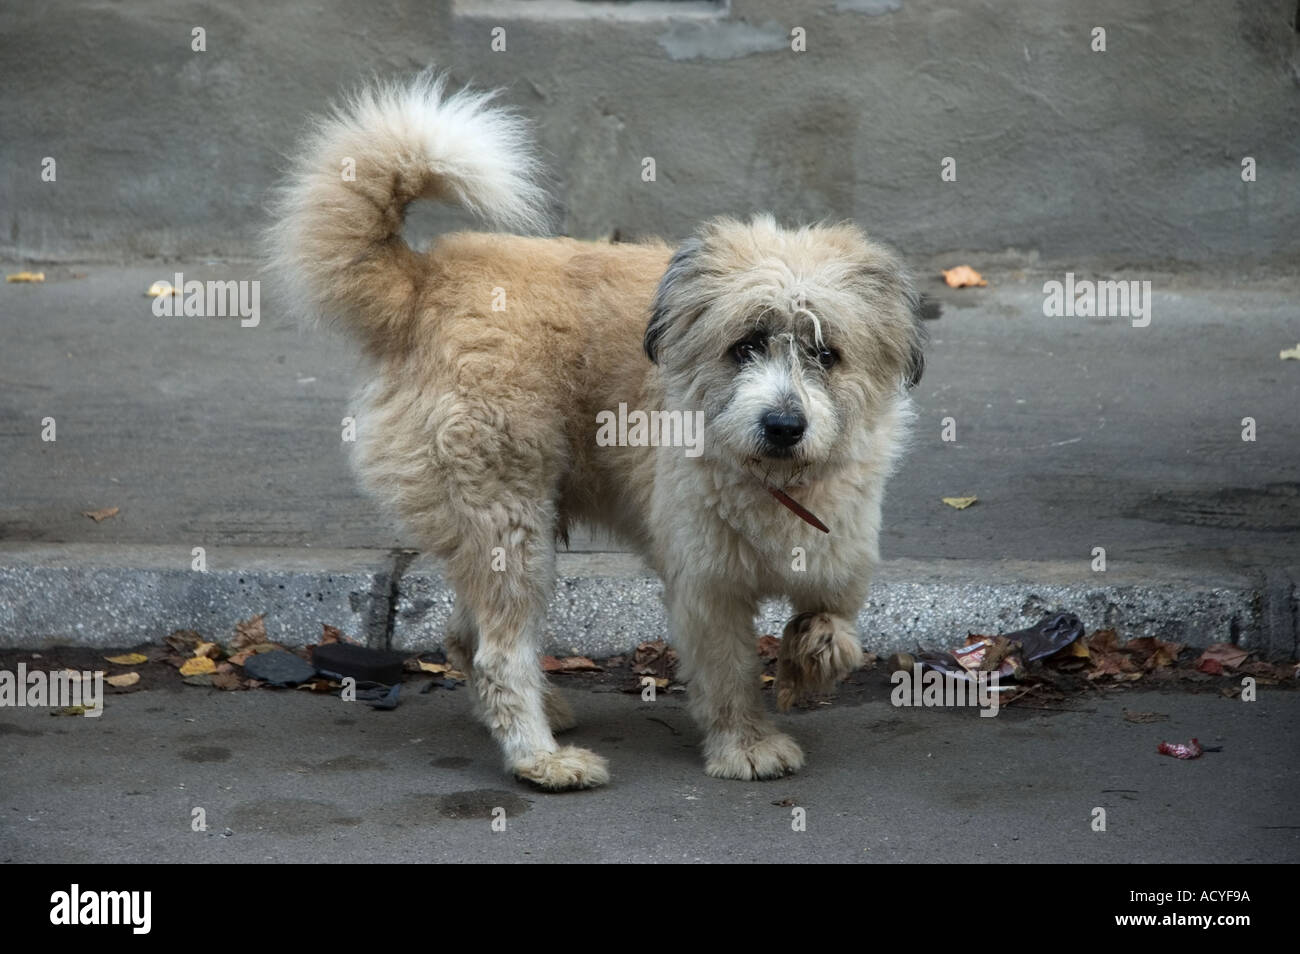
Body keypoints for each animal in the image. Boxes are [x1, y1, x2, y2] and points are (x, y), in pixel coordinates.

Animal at [271, 72, 925, 790]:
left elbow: (838, 627)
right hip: (511, 524)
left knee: (466, 639)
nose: (783, 425)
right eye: (746, 346)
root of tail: (426, 280)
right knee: (498, 653)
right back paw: (541, 759)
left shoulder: (842, 559)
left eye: (825, 353)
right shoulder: (707, 592)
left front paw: (807, 664)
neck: (776, 483)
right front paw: (746, 744)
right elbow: (729, 677)